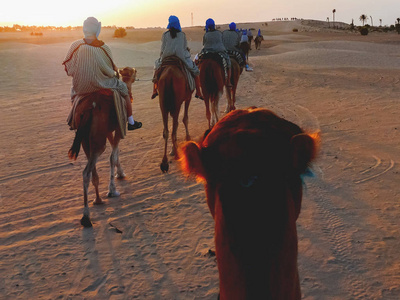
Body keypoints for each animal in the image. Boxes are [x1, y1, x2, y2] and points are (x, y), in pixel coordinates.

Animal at [68, 68, 137, 227]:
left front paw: (120, 174)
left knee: (91, 168)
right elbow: (113, 156)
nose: (137, 71)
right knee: (86, 172)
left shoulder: (108, 131)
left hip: (86, 140)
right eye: (132, 71)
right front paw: (112, 190)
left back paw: (98, 200)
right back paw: (86, 216)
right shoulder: (118, 128)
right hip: (98, 140)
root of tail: (89, 108)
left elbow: (115, 154)